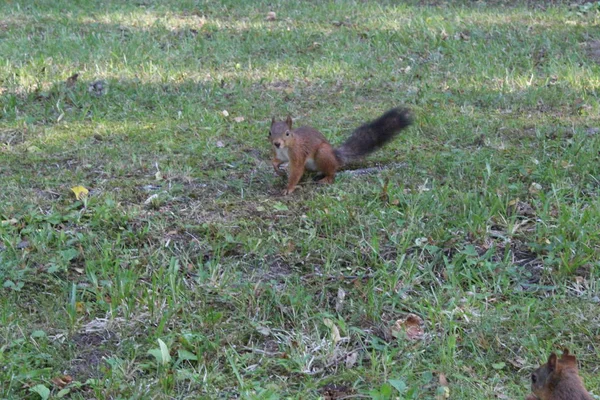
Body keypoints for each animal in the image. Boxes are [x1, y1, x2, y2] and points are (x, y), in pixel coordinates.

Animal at [268, 106, 412, 194]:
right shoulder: (281, 155)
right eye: (269, 132)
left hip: (323, 154)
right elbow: (276, 161)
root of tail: (336, 157)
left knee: (332, 172)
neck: (286, 148)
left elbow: (297, 169)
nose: (277, 143)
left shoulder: (297, 153)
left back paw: (326, 179)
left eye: (287, 133)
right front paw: (277, 169)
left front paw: (289, 188)